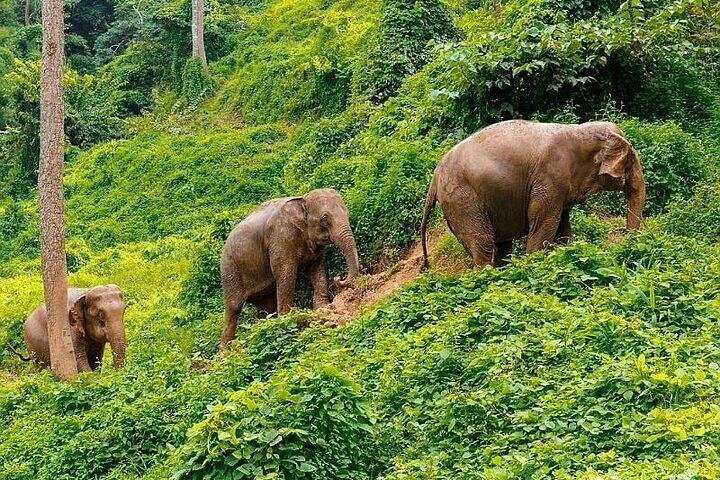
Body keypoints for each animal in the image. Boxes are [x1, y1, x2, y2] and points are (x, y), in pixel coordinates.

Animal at [220, 188, 360, 349]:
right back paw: (226, 350)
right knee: (234, 306)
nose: (338, 277)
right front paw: (287, 319)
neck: (302, 200)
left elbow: (317, 269)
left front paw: (322, 308)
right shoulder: (280, 239)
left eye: (347, 213)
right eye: (325, 219)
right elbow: (286, 274)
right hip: (229, 269)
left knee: (265, 304)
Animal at [420, 120, 646, 268]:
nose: (625, 245)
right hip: (462, 199)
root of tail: (435, 177)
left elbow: (562, 226)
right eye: (631, 161)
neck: (579, 130)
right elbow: (544, 222)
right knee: (483, 243)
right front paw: (534, 263)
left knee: (501, 245)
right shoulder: (549, 179)